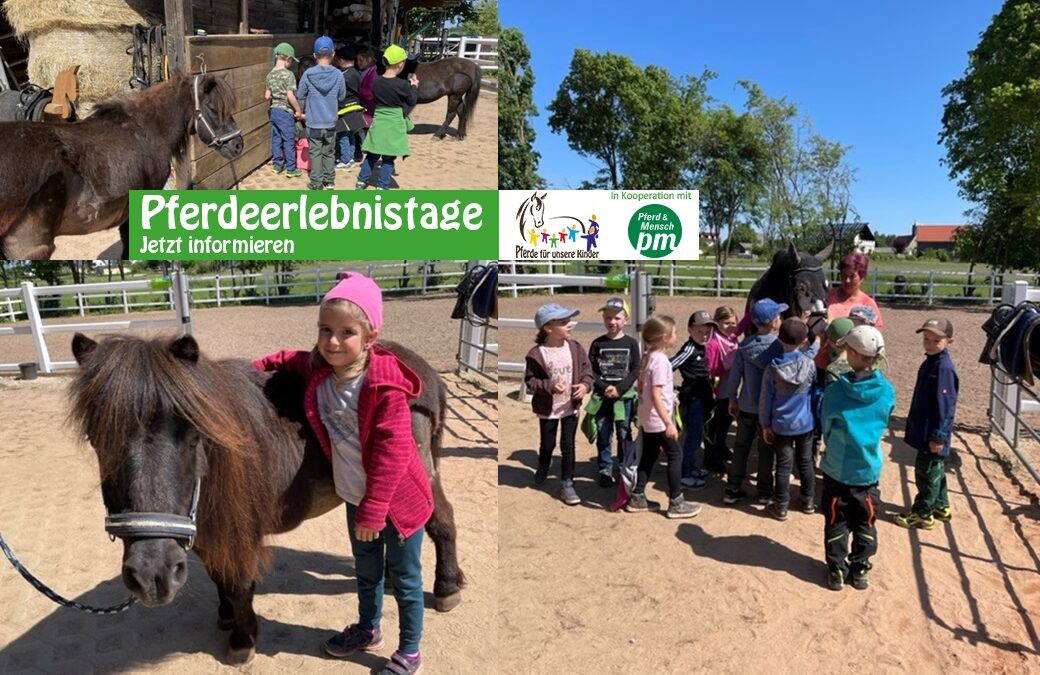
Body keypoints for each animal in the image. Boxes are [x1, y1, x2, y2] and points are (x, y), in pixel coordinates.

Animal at [69, 330, 463, 661]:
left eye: (193, 435)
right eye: (98, 439)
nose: (152, 575)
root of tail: (422, 370)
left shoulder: (239, 532)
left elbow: (239, 582)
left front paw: (243, 639)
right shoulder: (205, 533)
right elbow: (219, 576)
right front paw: (226, 616)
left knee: (441, 520)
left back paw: (446, 587)